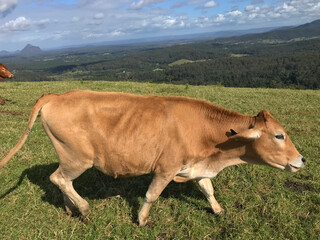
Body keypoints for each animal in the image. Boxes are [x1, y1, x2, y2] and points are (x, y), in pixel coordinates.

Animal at [0, 91, 304, 226]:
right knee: (58, 178)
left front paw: (218, 211)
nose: (301, 160)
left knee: (62, 181)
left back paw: (70, 208)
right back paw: (84, 209)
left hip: (69, 157)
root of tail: (57, 94)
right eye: (279, 135)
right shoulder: (166, 168)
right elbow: (151, 195)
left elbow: (208, 189)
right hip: (78, 158)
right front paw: (142, 220)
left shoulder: (197, 166)